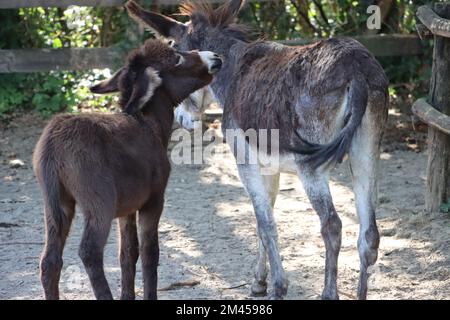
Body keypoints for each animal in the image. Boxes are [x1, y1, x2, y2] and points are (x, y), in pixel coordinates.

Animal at [32, 40, 222, 300]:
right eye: (176, 59)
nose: (215, 57)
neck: (149, 124)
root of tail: (53, 144)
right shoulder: (154, 201)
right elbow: (150, 252)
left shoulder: (128, 208)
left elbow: (129, 252)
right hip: (99, 203)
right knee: (89, 251)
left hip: (56, 203)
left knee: (50, 260)